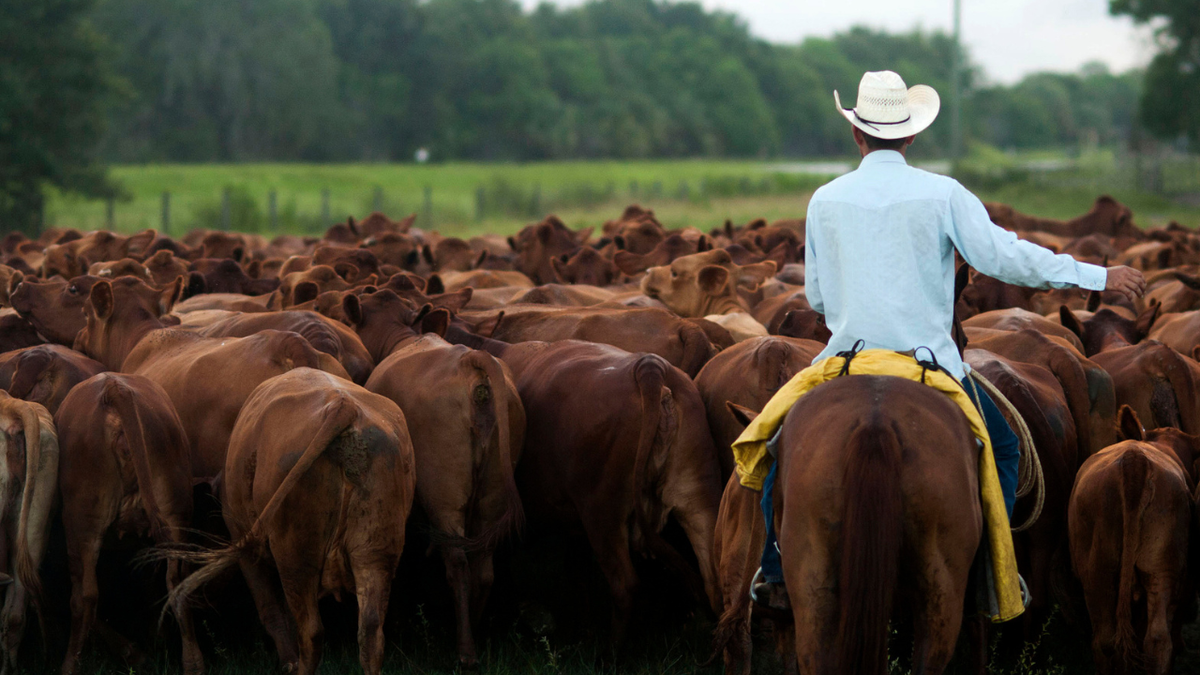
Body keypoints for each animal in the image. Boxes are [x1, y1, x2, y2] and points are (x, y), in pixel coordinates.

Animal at [54, 374, 201, 675]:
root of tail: (114, 387)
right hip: (176, 511)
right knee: (179, 581)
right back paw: (192, 662)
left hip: (81, 523)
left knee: (84, 595)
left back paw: (69, 665)